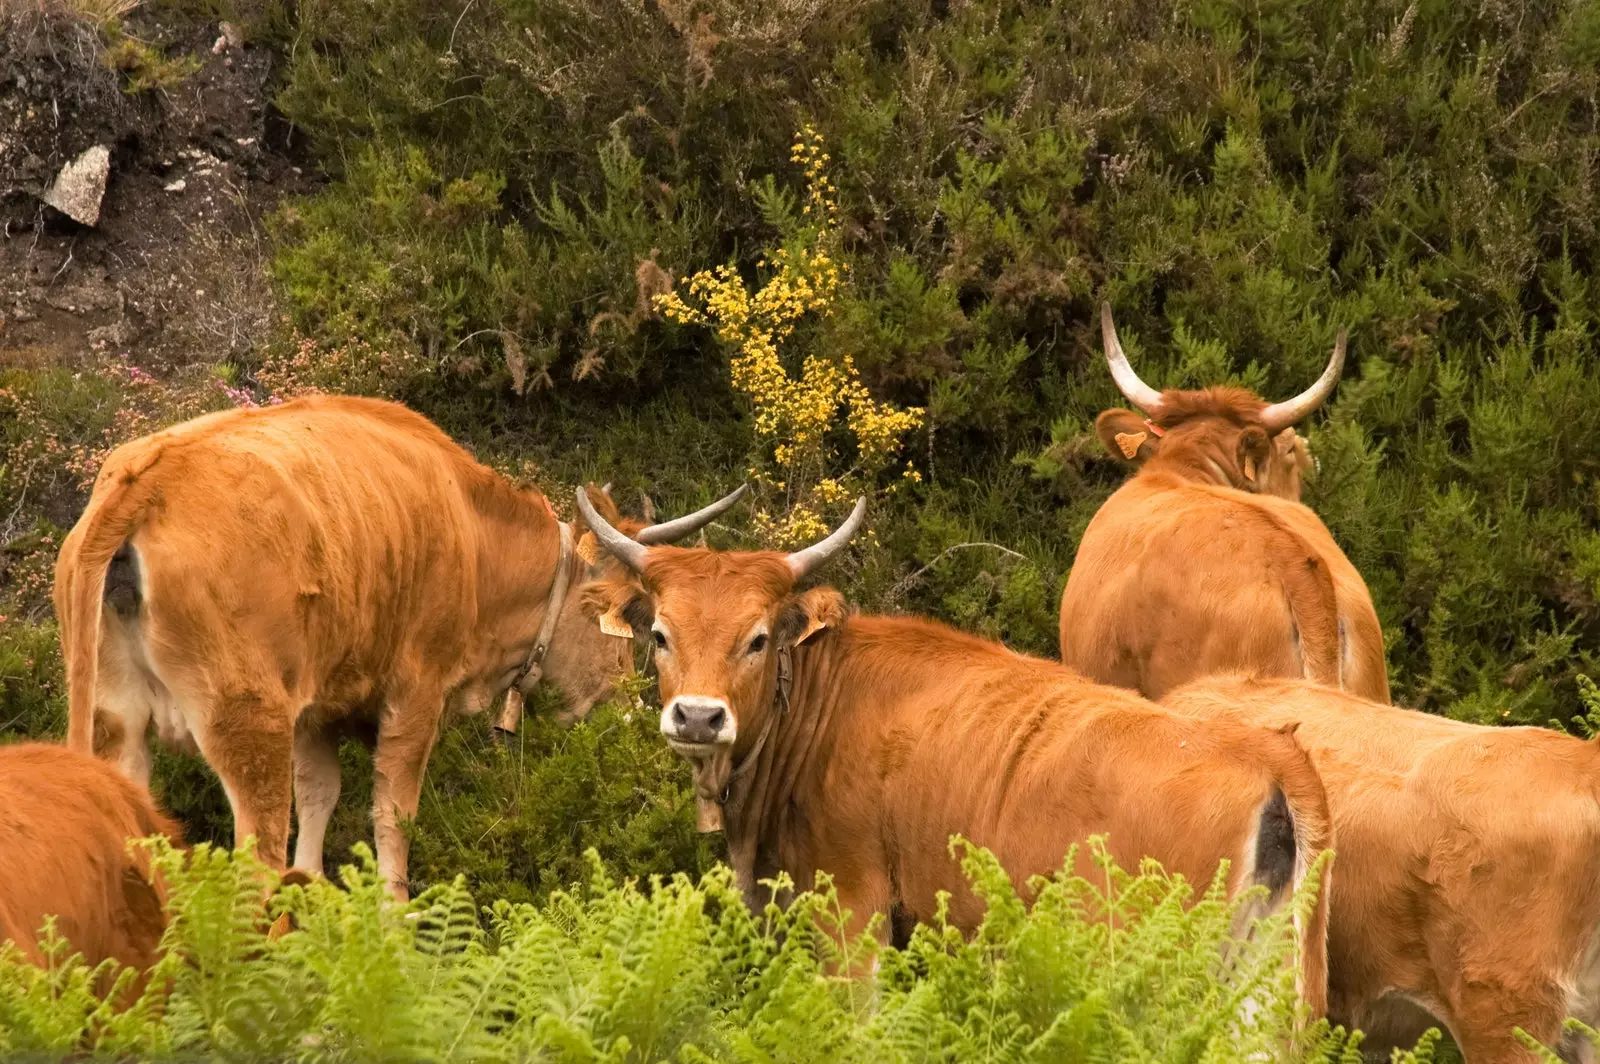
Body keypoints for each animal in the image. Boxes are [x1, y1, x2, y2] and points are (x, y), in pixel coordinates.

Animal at [53, 393, 742, 902]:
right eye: (637, 616)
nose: (625, 708)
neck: (471, 532)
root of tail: (149, 479)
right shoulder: (416, 696)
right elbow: (392, 814)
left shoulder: (316, 709)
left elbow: (320, 797)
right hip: (247, 726)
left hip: (117, 726)